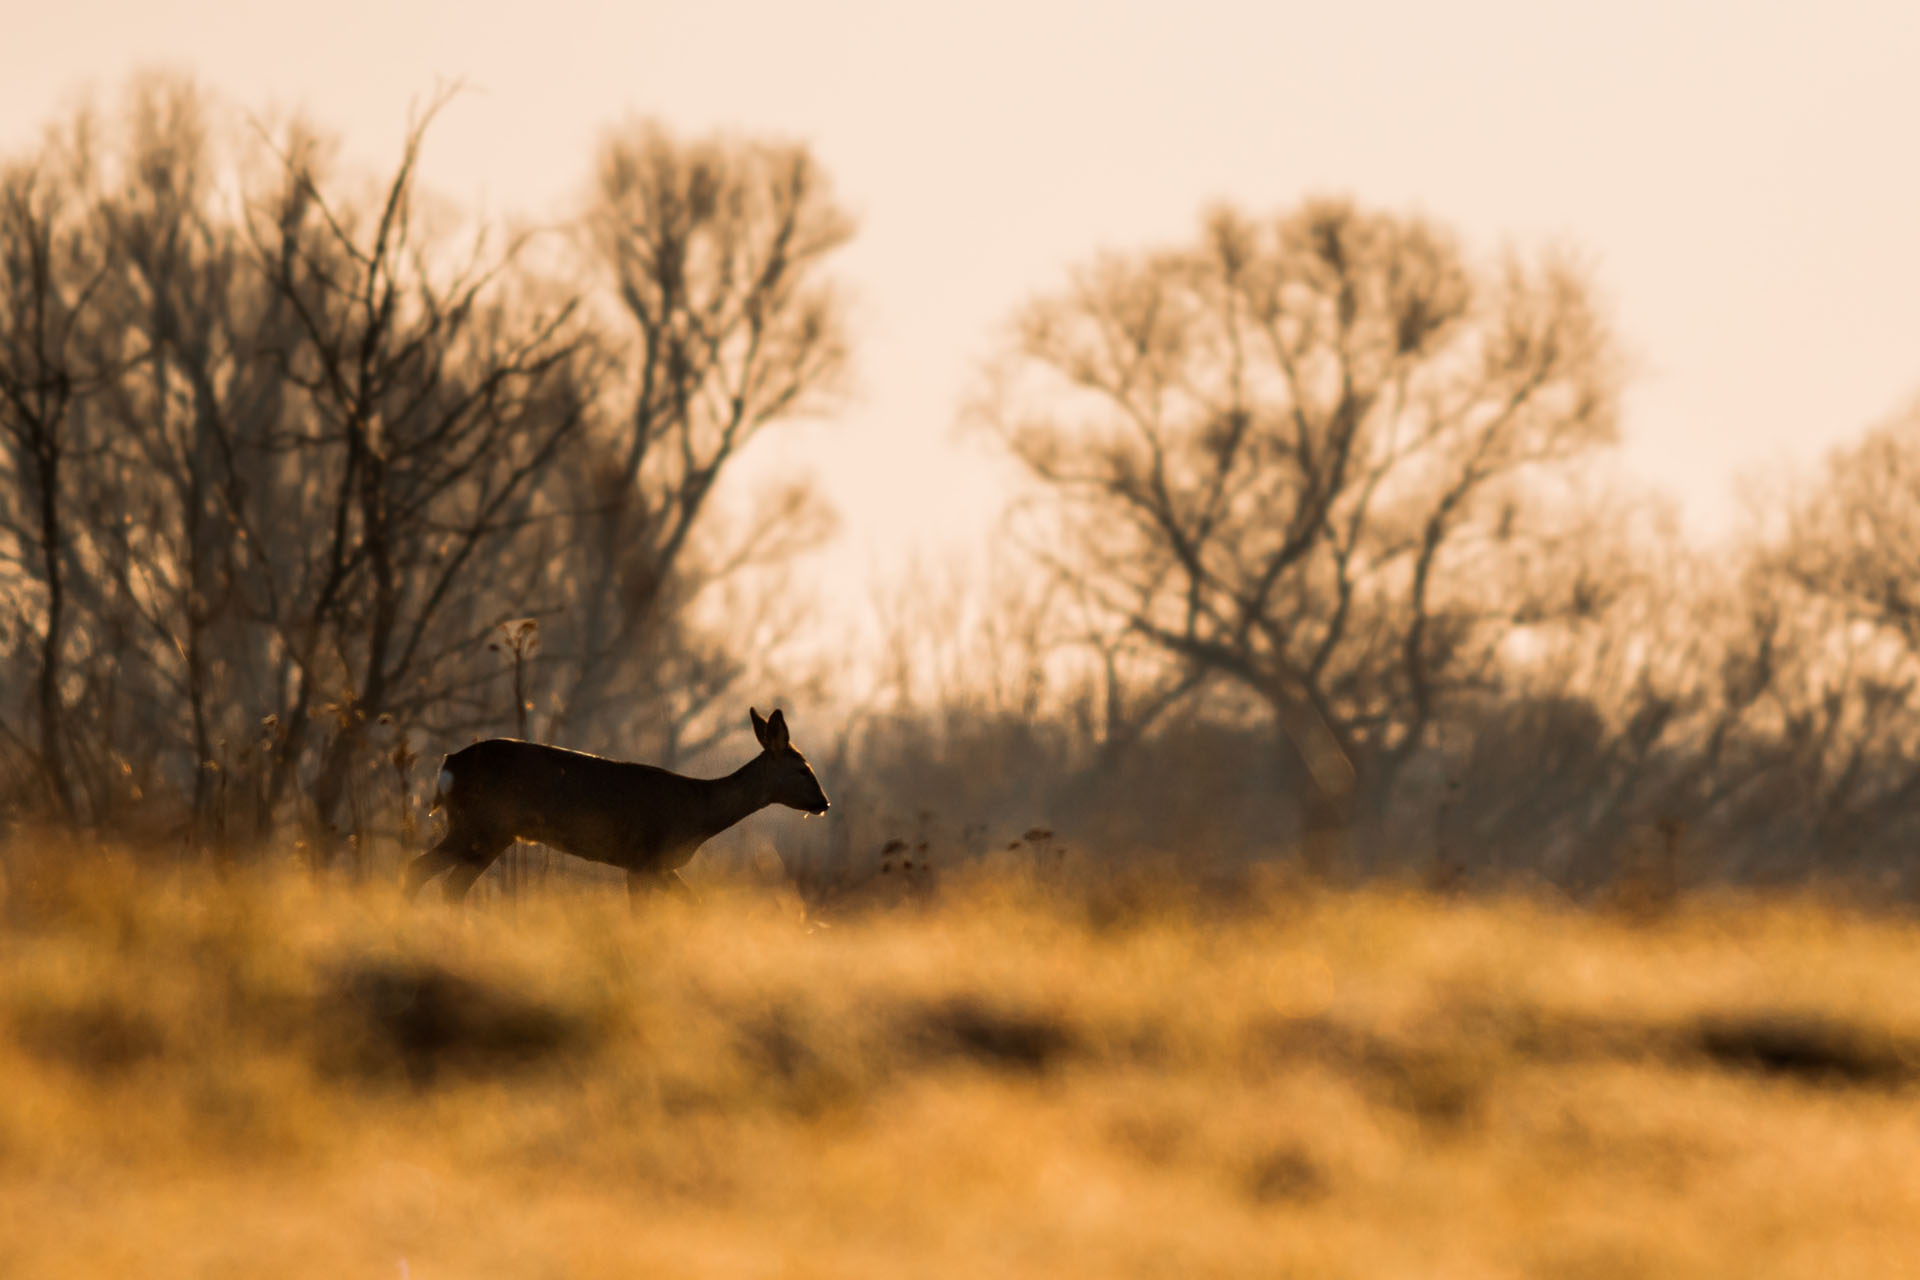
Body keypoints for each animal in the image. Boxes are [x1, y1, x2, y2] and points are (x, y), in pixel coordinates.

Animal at [405, 706, 825, 905]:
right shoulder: (643, 859)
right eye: (803, 768)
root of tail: (448, 765)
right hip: (482, 825)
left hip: (485, 831)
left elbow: (694, 902)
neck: (698, 811)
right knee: (422, 871)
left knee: (445, 883)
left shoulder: (655, 866)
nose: (824, 802)